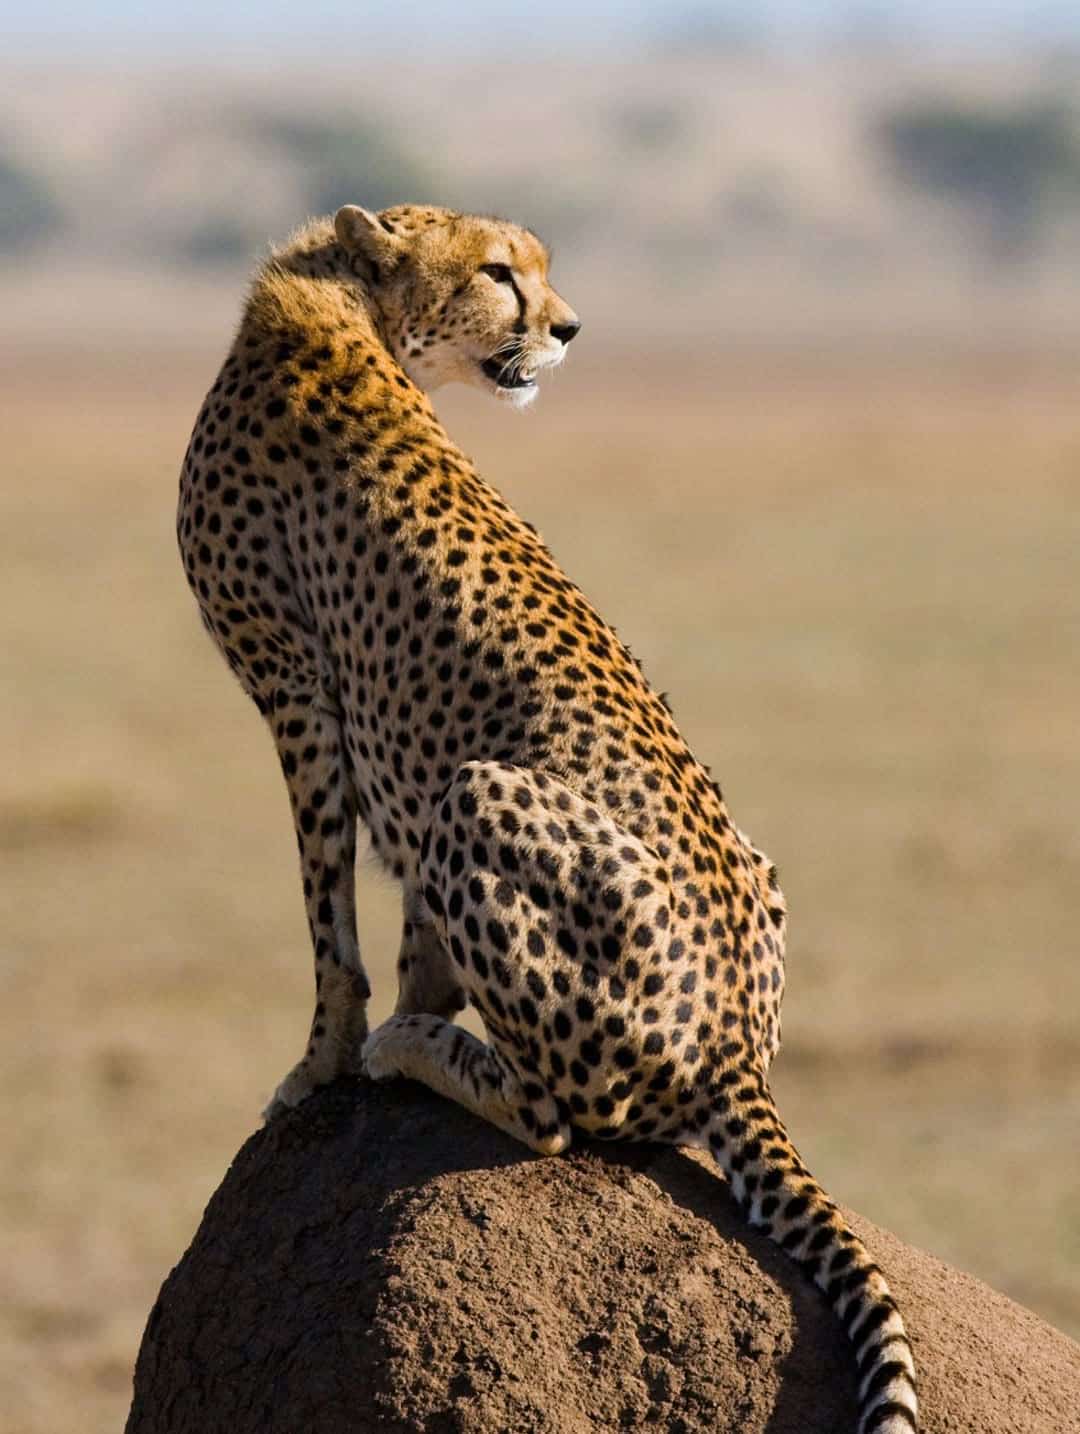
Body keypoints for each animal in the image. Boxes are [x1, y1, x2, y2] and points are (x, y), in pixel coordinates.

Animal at [177, 201, 918, 1433]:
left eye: (538, 269)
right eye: (497, 272)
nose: (569, 328)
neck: (343, 302)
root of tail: (739, 1050)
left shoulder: (296, 690)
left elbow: (328, 921)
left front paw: (324, 1063)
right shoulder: (345, 718)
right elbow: (397, 926)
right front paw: (402, 1009)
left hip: (481, 795)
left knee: (563, 1119)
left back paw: (419, 1050)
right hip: (728, 861)